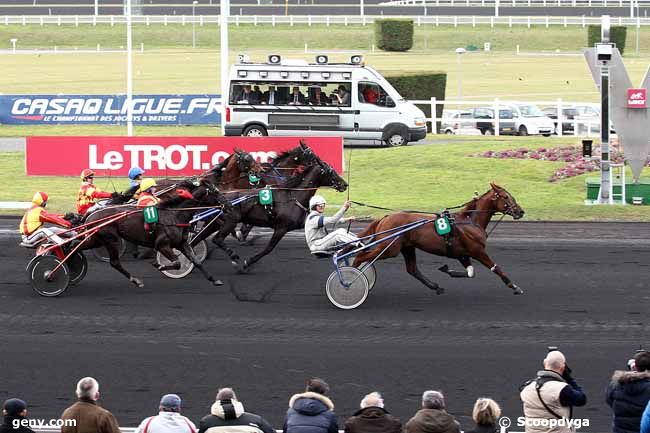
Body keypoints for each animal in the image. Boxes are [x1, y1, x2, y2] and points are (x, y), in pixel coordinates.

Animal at [83, 182, 227, 286]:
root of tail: (91, 215)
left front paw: (214, 280)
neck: (174, 215)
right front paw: (159, 265)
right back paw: (136, 280)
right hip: (111, 239)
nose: (228, 204)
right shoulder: (162, 245)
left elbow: (196, 260)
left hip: (97, 240)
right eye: (216, 192)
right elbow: (177, 263)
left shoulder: (182, 243)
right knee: (114, 262)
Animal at [190, 148, 346, 270]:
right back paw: (232, 256)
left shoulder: (303, 223)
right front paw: (247, 262)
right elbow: (268, 248)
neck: (293, 195)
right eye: (330, 171)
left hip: (216, 222)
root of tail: (220, 195)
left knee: (198, 238)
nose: (345, 184)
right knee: (216, 239)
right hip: (230, 221)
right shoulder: (281, 227)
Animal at [352, 181, 524, 296]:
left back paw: (436, 287)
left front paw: (447, 270)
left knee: (412, 269)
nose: (520, 212)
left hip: (407, 247)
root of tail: (385, 217)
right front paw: (515, 287)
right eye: (506, 197)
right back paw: (352, 277)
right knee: (360, 256)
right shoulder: (478, 251)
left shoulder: (462, 254)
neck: (469, 221)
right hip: (389, 248)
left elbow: (470, 272)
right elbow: (496, 268)